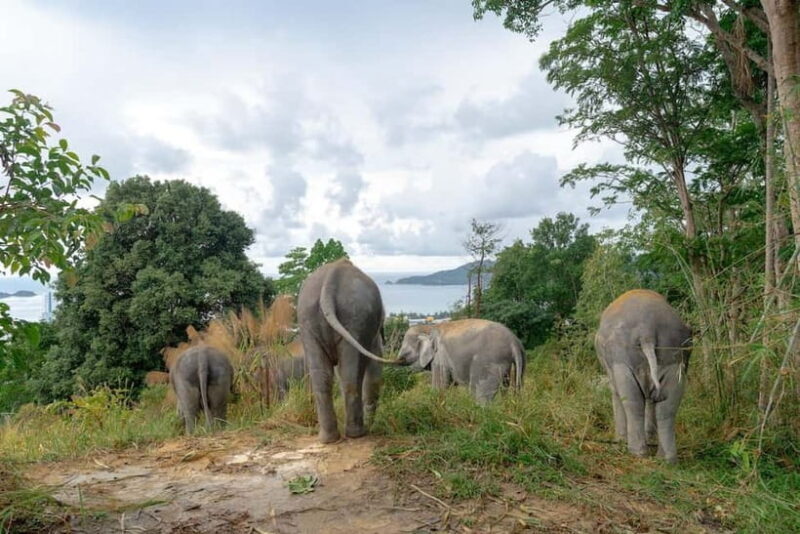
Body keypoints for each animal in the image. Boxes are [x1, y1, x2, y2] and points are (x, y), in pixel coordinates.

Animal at [297, 258, 400, 443]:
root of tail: (329, 282)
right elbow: (374, 370)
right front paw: (371, 425)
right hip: (355, 319)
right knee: (351, 373)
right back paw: (358, 433)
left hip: (308, 320)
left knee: (322, 375)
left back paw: (328, 438)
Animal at [397, 319, 525, 405]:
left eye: (405, 354)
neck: (428, 328)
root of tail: (514, 342)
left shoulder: (440, 358)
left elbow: (440, 386)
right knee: (508, 386)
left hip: (489, 362)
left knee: (480, 392)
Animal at [595, 289, 692, 464]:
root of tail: (647, 331)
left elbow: (617, 393)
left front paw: (619, 441)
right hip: (674, 357)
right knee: (668, 407)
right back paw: (667, 460)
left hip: (622, 358)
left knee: (632, 401)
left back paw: (636, 453)